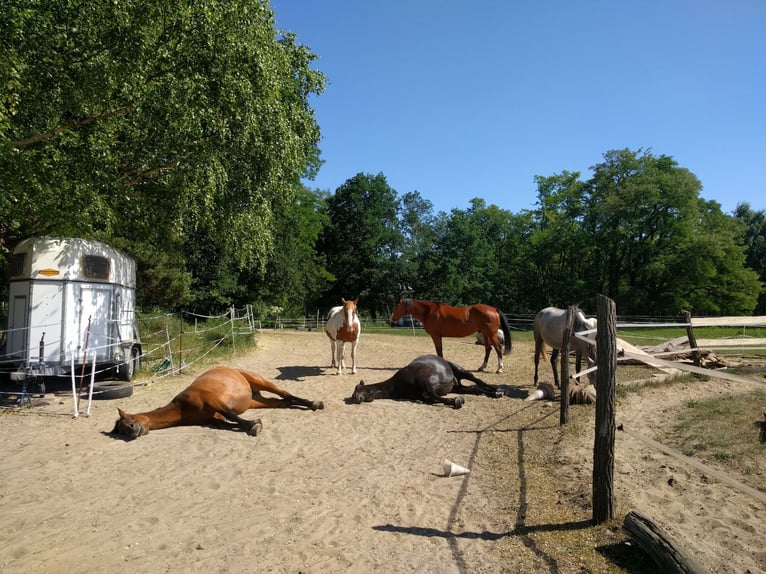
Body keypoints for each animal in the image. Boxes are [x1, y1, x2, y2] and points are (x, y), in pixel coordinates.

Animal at [111, 366, 324, 439]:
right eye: (121, 430)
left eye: (129, 418)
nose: (133, 430)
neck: (182, 407)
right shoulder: (214, 418)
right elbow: (229, 423)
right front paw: (251, 425)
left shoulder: (215, 403)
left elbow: (233, 416)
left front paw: (254, 425)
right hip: (256, 401)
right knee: (283, 402)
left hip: (261, 382)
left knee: (285, 393)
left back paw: (315, 403)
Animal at [348, 355, 504, 409]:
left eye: (356, 388)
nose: (355, 398)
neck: (397, 385)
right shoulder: (423, 394)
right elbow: (431, 398)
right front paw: (453, 400)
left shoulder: (425, 380)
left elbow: (433, 394)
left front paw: (456, 401)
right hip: (457, 386)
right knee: (475, 389)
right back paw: (493, 394)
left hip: (461, 371)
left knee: (479, 381)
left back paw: (498, 391)